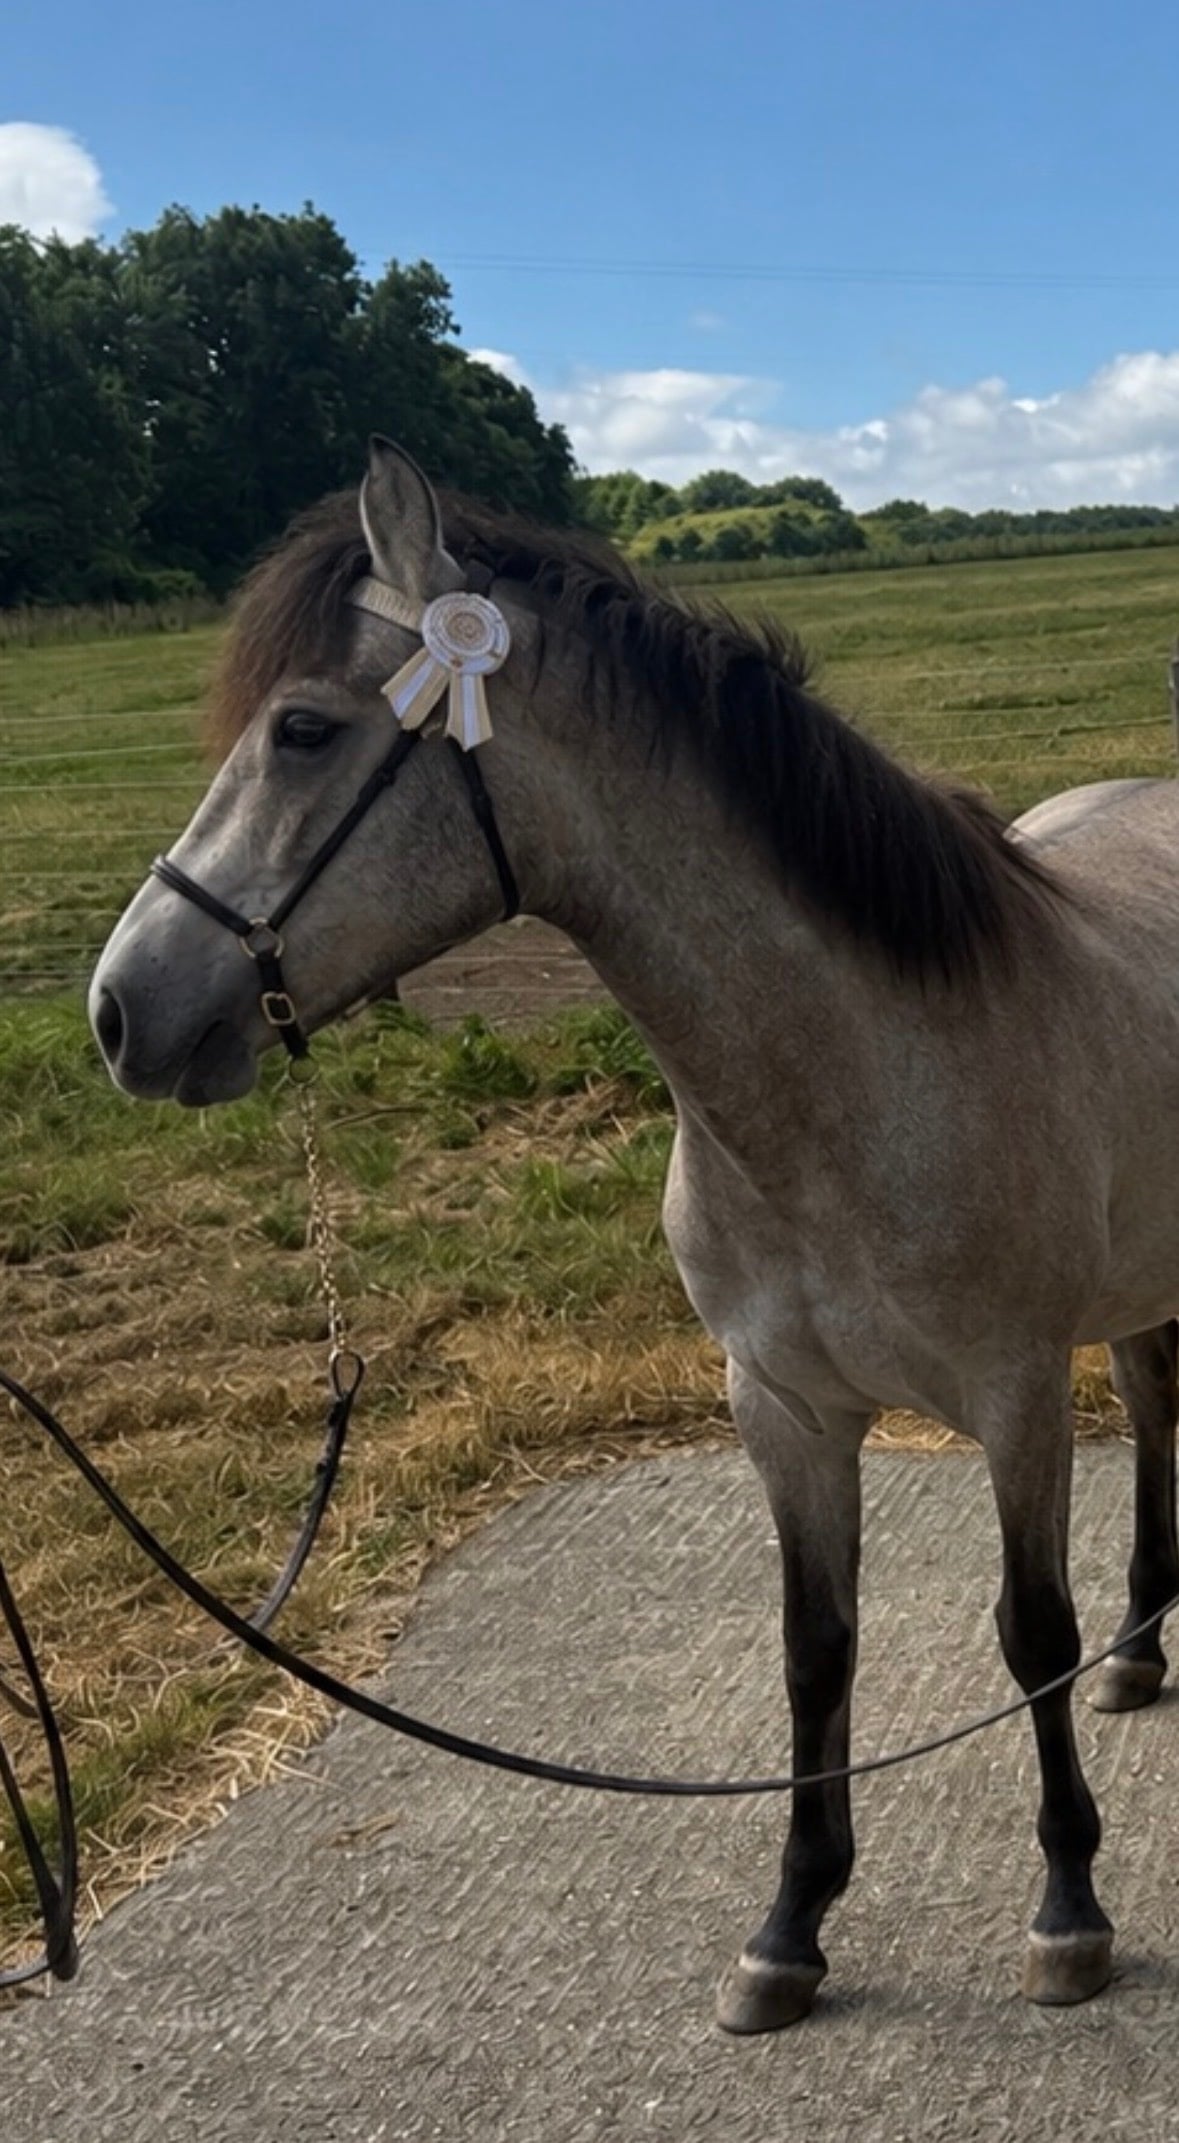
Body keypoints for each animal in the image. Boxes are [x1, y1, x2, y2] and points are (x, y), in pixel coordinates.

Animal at [89, 438, 1179, 2034]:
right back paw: (1139, 1651)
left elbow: (1024, 1633)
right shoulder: (781, 1408)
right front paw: (790, 1924)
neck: (853, 1075)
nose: (120, 1011)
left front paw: (1067, 1909)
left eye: (300, 729)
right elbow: (814, 1652)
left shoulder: (1014, 1397)